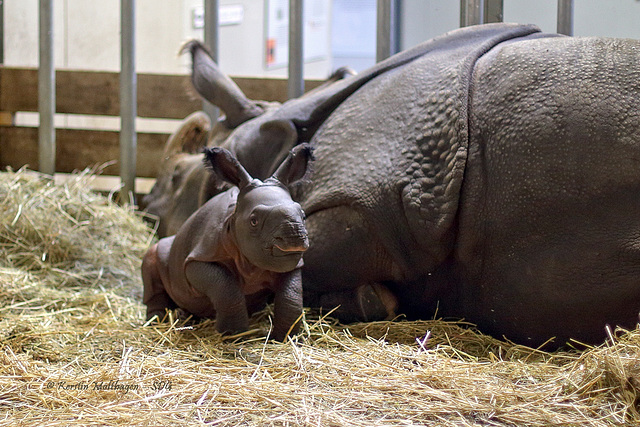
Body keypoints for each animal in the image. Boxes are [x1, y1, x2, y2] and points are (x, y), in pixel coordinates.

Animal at [144, 144, 316, 342]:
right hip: (164, 250)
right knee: (152, 257)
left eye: (303, 215)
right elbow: (225, 287)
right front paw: (234, 335)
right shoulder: (199, 257)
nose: (294, 236)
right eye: (254, 221)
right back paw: (159, 321)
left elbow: (291, 296)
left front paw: (285, 338)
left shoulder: (292, 263)